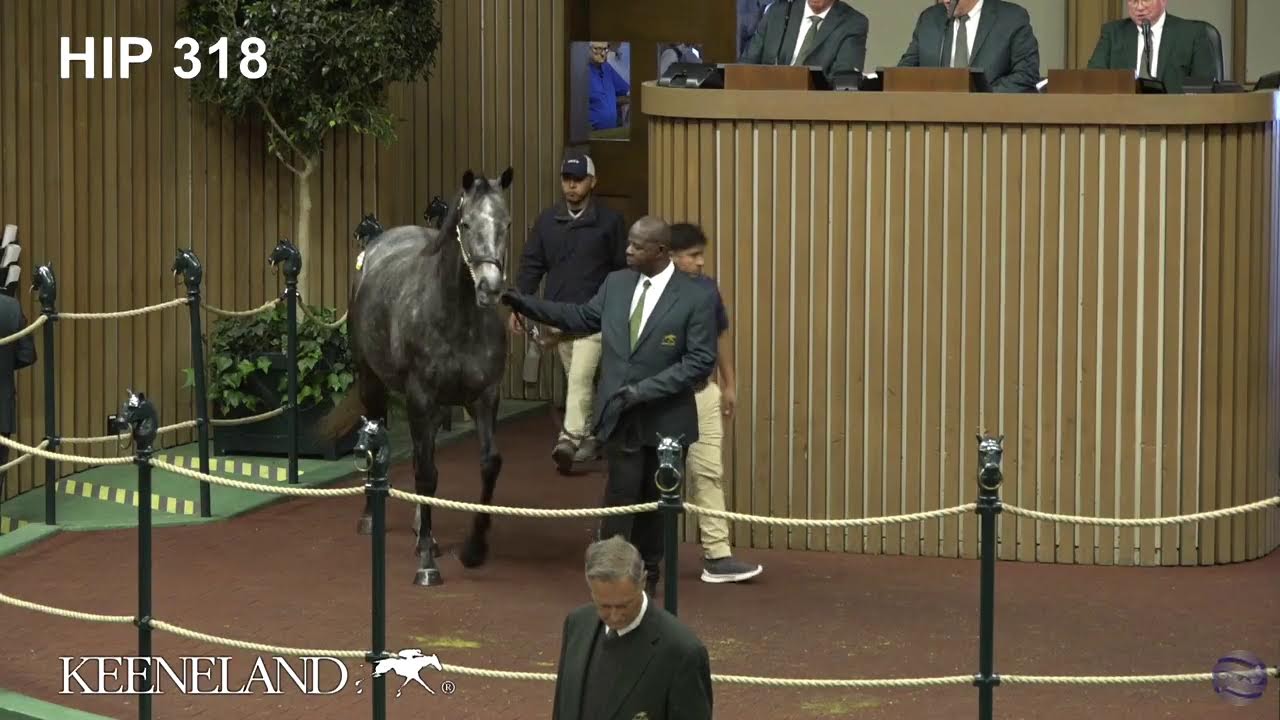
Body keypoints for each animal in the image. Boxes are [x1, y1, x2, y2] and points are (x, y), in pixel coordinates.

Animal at [320, 167, 514, 586]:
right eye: (466, 223)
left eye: (505, 223)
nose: (490, 287)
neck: (457, 319)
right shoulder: (420, 396)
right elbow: (426, 473)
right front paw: (426, 561)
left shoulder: (485, 397)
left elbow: (487, 464)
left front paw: (474, 549)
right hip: (373, 384)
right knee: (382, 446)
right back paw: (371, 518)